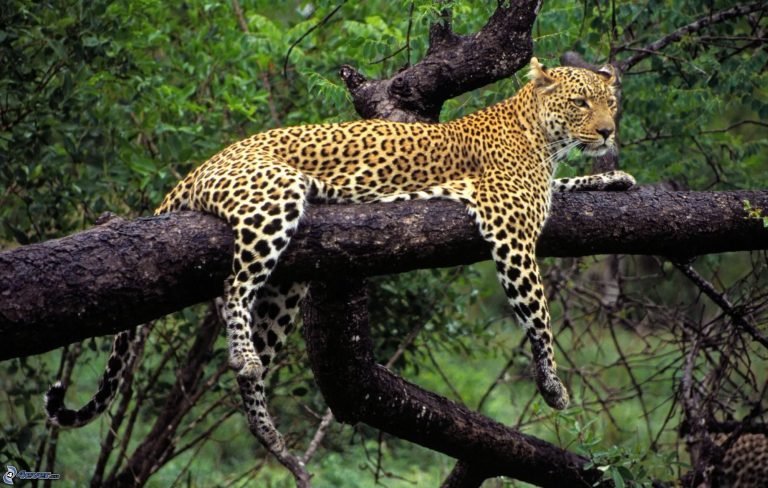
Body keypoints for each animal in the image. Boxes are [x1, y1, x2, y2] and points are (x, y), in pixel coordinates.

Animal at [45, 57, 635, 468]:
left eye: (611, 102)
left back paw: (267, 430)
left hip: (285, 287)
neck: (540, 133)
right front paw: (552, 384)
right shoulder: (509, 225)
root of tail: (201, 166)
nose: (608, 131)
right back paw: (244, 357)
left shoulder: (537, 194)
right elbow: (539, 315)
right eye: (581, 103)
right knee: (234, 286)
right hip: (273, 199)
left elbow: (571, 185)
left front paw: (615, 177)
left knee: (254, 340)